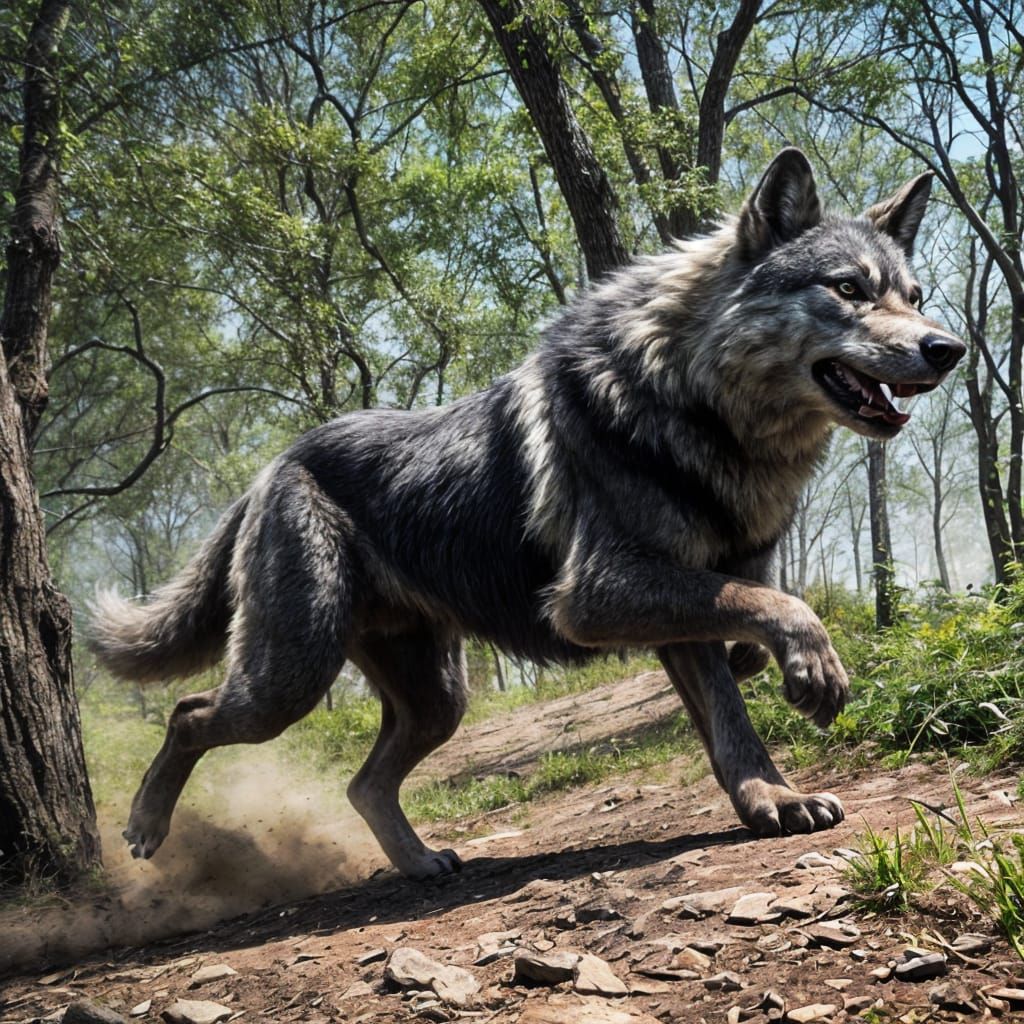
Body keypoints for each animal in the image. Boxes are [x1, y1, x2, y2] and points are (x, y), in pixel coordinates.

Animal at [91, 149, 965, 879]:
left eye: (915, 297)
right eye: (848, 289)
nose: (948, 349)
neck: (693, 402)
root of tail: (271, 467)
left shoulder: (681, 602)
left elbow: (737, 677)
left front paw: (769, 791)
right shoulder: (598, 594)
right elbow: (778, 616)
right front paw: (804, 700)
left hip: (436, 702)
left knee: (362, 785)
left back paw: (419, 864)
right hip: (290, 680)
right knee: (188, 714)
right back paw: (145, 826)